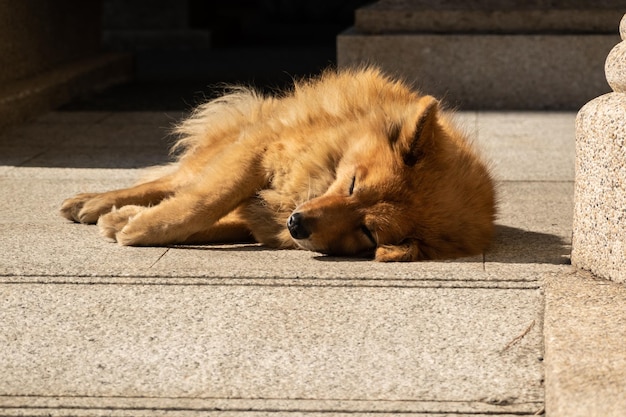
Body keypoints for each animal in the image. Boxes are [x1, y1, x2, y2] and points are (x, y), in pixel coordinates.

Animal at [61, 68, 494, 260]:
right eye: (353, 184)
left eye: (368, 231)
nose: (297, 225)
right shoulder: (263, 149)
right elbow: (205, 200)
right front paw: (142, 227)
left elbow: (217, 220)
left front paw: (130, 223)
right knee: (174, 181)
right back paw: (91, 202)